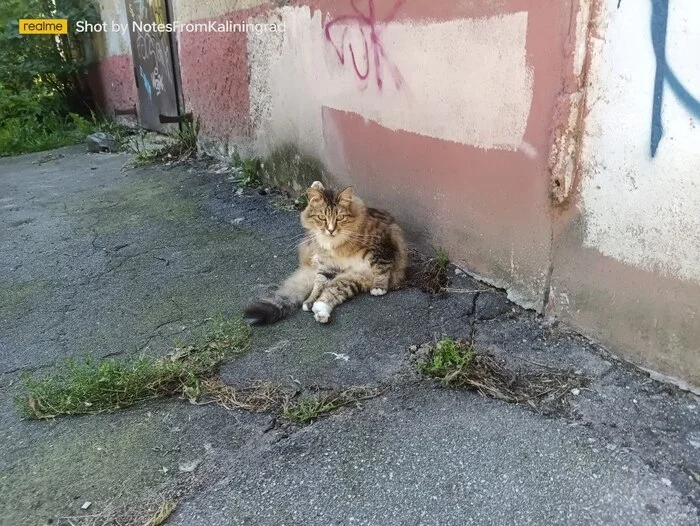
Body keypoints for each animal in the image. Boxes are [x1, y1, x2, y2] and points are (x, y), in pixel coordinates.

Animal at [246, 184, 408, 328]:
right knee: (324, 293)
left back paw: (321, 313)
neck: (337, 244)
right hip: (343, 277)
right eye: (322, 218)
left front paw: (379, 287)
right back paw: (317, 310)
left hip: (352, 277)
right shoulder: (329, 265)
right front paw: (309, 300)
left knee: (329, 293)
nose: (330, 230)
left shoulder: (382, 246)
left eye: (340, 218)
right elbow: (318, 285)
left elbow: (382, 267)